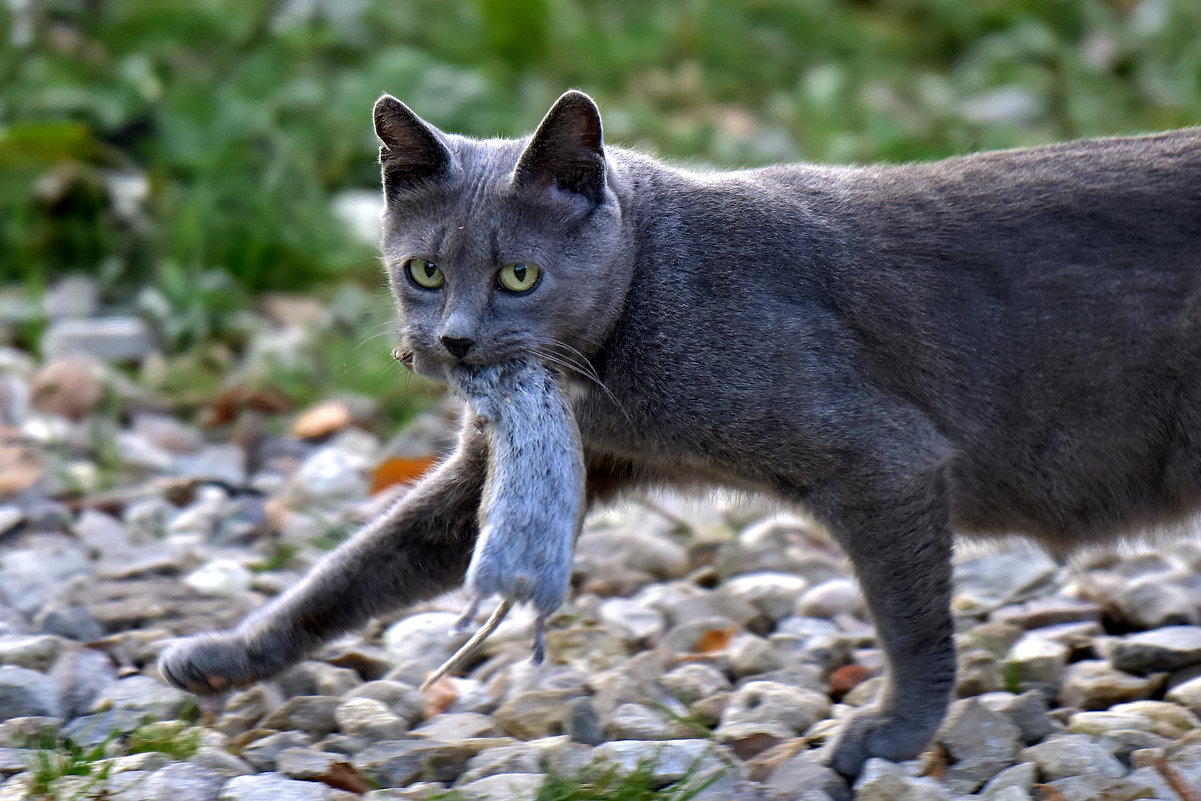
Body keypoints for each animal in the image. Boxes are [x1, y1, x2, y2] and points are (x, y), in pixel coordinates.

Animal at [159, 90, 1201, 778]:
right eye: (422, 270)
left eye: (518, 276)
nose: (451, 339)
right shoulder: (529, 464)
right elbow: (358, 566)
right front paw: (223, 656)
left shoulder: (882, 461)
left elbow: (907, 618)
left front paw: (891, 734)